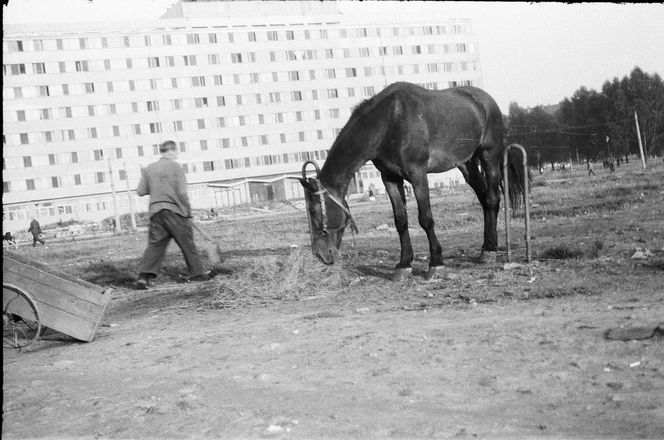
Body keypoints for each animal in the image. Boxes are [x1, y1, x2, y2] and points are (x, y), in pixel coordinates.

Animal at [298, 81, 528, 280]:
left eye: (314, 211)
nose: (320, 254)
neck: (389, 121)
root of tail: (486, 101)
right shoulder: (390, 178)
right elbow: (400, 220)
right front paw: (403, 264)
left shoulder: (418, 175)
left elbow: (425, 218)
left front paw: (436, 263)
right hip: (466, 164)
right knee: (483, 198)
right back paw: (486, 247)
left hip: (489, 156)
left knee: (492, 199)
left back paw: (490, 250)